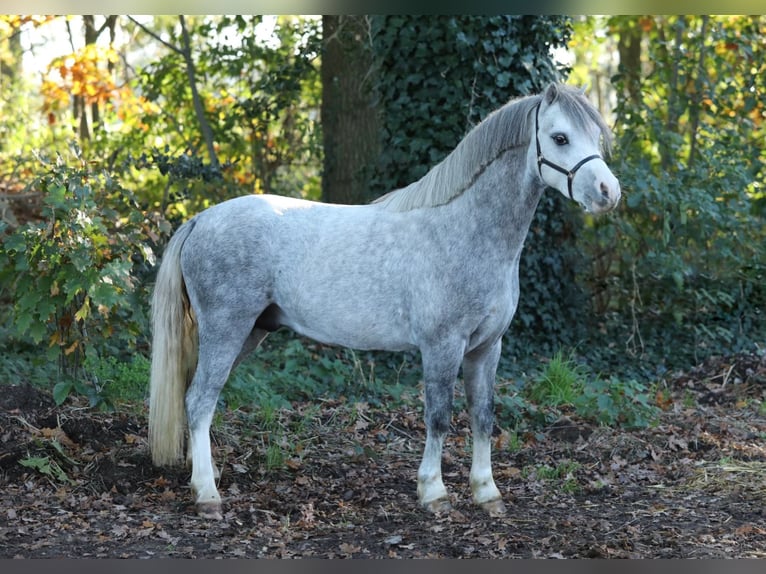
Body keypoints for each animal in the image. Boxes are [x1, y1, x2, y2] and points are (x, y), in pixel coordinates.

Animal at [150, 84, 624, 520]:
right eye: (560, 137)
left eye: (595, 137)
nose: (609, 191)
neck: (466, 230)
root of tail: (200, 220)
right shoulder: (442, 346)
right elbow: (439, 416)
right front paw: (434, 493)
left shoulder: (487, 347)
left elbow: (483, 415)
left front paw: (487, 492)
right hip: (227, 329)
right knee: (200, 399)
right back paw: (208, 494)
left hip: (248, 332)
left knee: (197, 397)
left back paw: (201, 474)